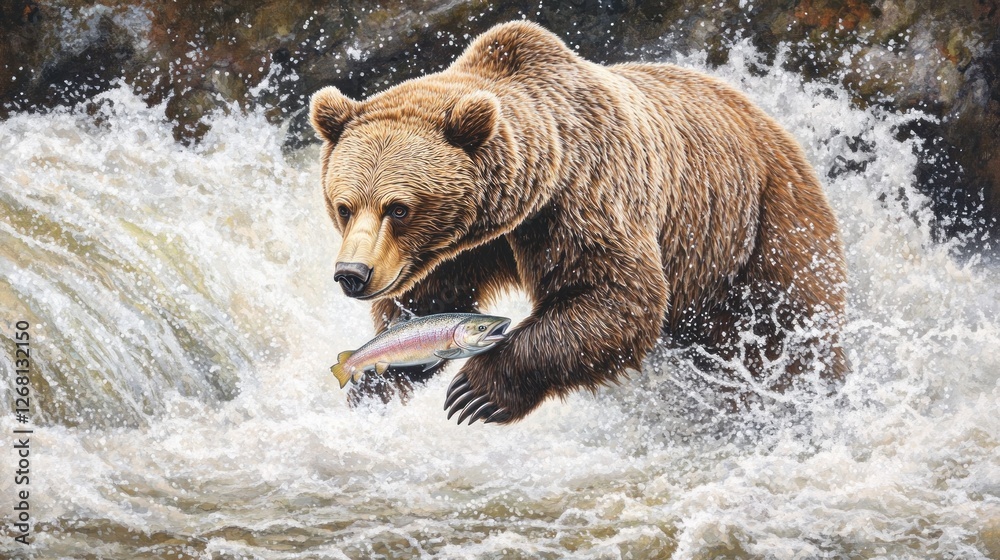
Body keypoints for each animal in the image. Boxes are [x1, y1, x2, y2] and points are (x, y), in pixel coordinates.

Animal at [309, 21, 846, 424]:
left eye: (398, 208)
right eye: (344, 206)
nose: (352, 275)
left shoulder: (586, 194)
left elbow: (615, 293)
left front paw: (476, 391)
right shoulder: (467, 246)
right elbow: (429, 299)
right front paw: (376, 378)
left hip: (764, 224)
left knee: (792, 324)